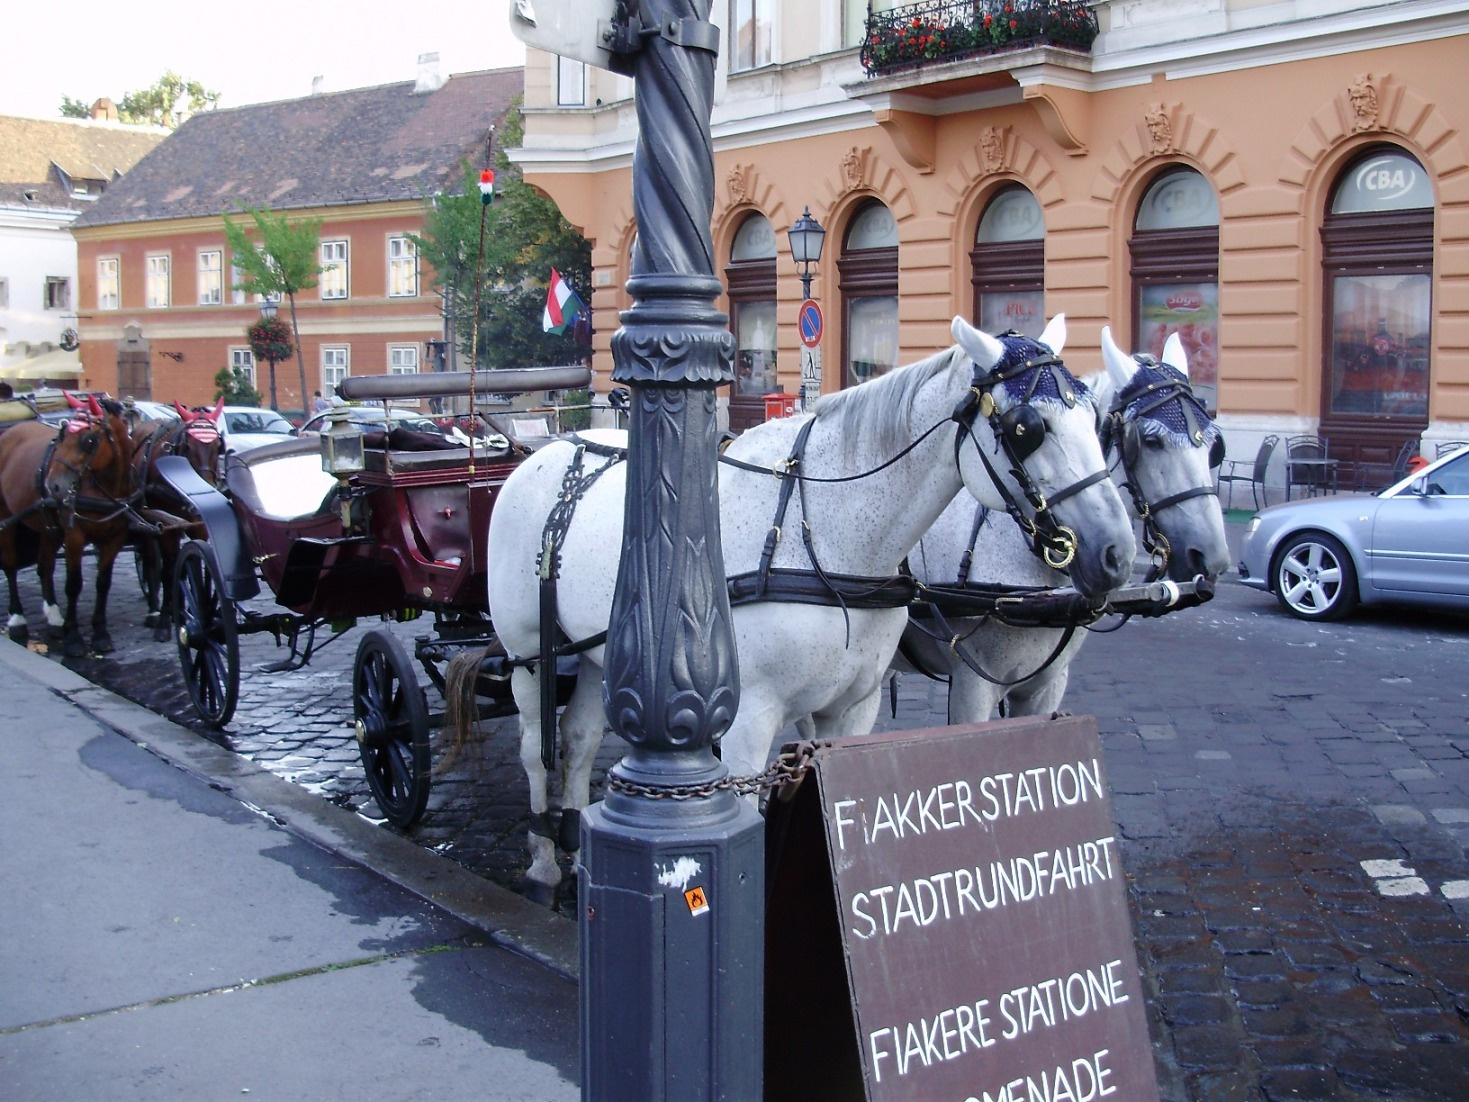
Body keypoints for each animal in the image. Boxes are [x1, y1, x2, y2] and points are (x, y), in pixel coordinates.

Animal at [0, 396, 138, 655]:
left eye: (89, 440)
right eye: (63, 435)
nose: (52, 486)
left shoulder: (114, 537)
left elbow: (103, 583)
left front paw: (100, 633)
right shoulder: (74, 537)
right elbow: (74, 584)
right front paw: (74, 638)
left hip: (47, 525)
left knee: (44, 565)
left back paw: (54, 617)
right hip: (7, 517)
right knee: (10, 565)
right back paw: (17, 619)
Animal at [129, 402, 223, 634]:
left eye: (218, 446)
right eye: (187, 446)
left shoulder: (199, 526)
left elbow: (195, 563)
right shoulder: (166, 528)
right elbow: (169, 570)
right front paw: (165, 619)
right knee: (151, 560)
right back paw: (154, 610)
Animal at [484, 314, 1134, 899]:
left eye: (1096, 420)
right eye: (1028, 428)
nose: (1116, 552)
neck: (824, 535)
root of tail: (548, 450)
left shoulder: (853, 707)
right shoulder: (746, 721)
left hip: (601, 654)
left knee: (580, 739)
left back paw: (576, 849)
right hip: (529, 654)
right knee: (535, 747)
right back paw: (543, 864)